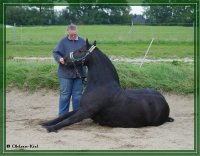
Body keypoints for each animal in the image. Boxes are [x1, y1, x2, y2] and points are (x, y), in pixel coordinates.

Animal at [41, 39, 173, 133]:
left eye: (80, 50)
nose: (64, 59)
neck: (100, 86)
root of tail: (165, 102)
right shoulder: (82, 108)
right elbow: (65, 116)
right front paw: (46, 123)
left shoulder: (86, 111)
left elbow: (68, 120)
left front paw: (51, 128)